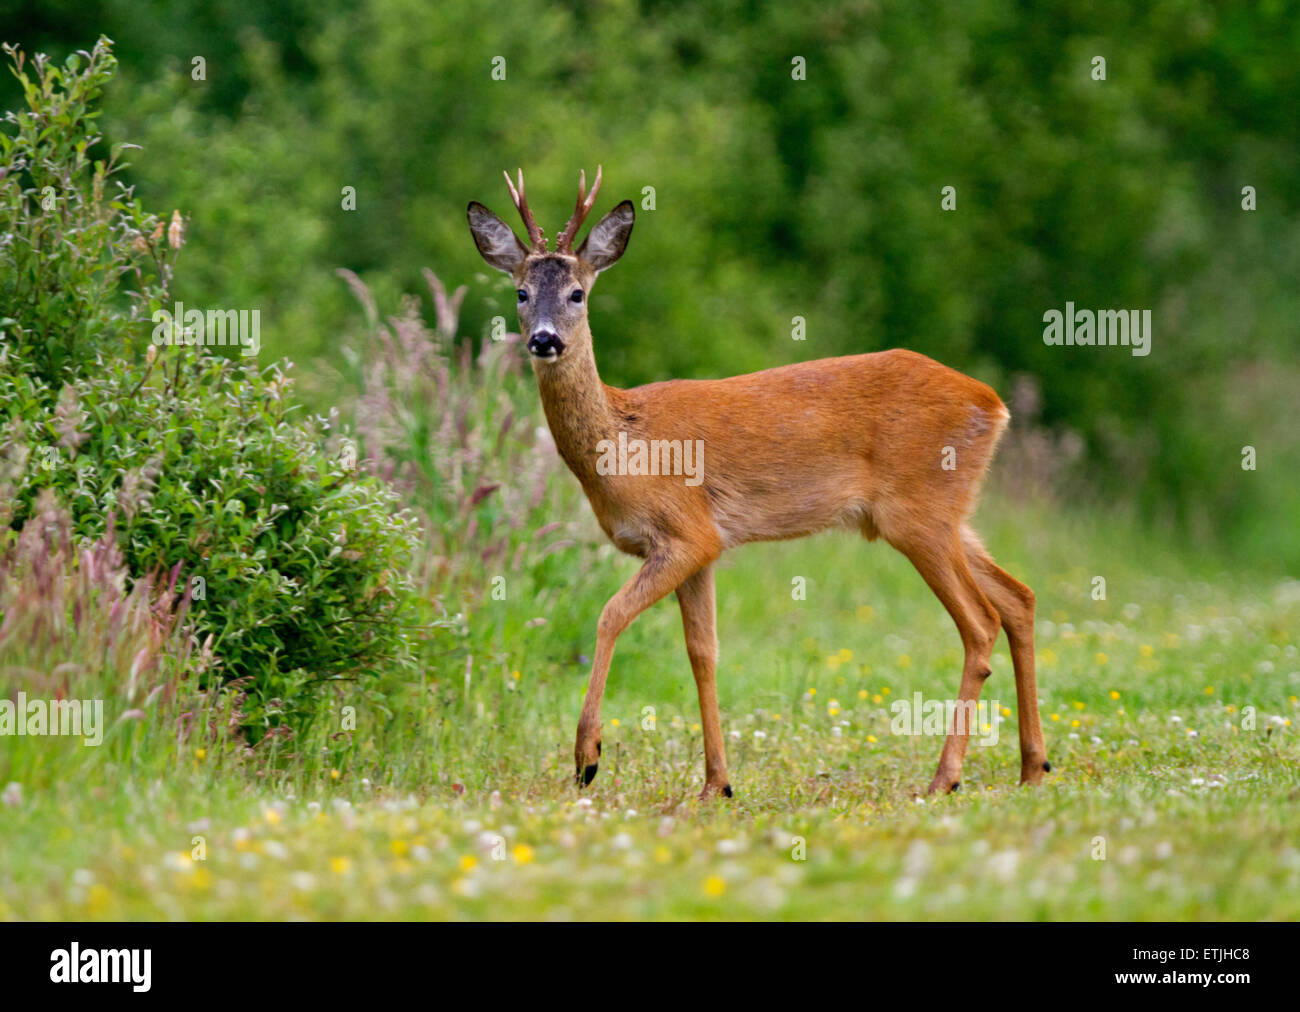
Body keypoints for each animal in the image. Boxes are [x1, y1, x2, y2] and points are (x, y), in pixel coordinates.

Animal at [467, 167, 1049, 800]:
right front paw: (716, 784)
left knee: (980, 622)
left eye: (578, 293)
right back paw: (1033, 767)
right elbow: (703, 652)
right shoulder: (702, 549)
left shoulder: (686, 531)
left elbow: (609, 614)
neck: (623, 442)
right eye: (521, 293)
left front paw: (587, 758)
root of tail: (993, 403)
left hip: (917, 515)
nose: (545, 340)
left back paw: (945, 778)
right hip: (948, 515)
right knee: (1018, 597)